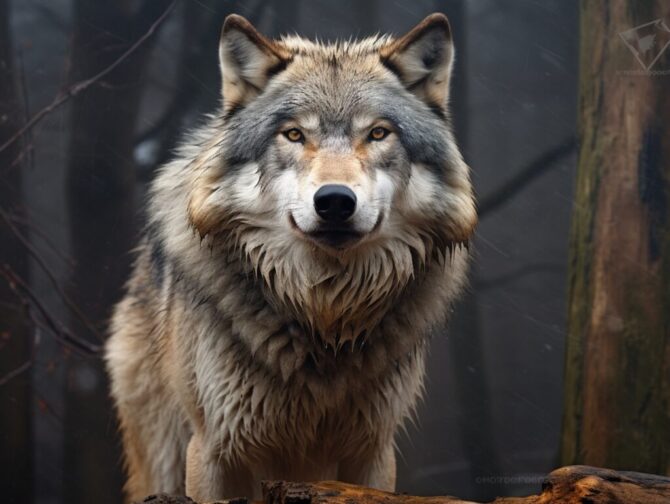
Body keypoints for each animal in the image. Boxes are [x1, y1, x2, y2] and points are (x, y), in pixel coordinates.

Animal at [105, 12, 476, 502]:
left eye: (378, 133)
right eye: (295, 134)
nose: (335, 201)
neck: (324, 318)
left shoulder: (374, 451)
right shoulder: (211, 449)